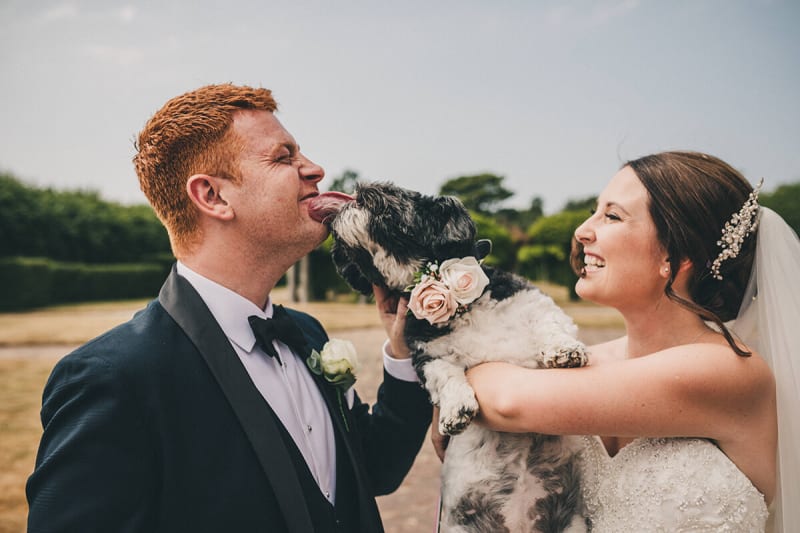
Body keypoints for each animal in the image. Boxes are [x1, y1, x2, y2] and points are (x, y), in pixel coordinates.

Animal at [310, 181, 592, 528]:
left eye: (378, 201)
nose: (345, 204)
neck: (462, 307)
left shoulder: (533, 303)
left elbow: (549, 325)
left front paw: (564, 350)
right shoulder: (427, 357)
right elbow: (447, 376)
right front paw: (456, 409)